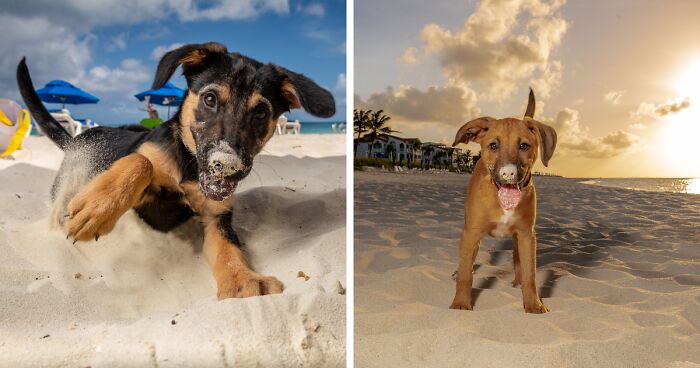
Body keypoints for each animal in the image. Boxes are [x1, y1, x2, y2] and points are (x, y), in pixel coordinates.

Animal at [15, 41, 334, 300]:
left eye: (262, 113)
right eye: (209, 99)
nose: (226, 166)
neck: (189, 169)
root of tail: (74, 140)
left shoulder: (216, 218)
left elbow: (229, 250)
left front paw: (243, 280)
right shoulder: (145, 185)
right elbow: (141, 161)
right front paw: (97, 209)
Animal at [448, 90, 556, 314]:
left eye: (524, 146)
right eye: (493, 145)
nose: (508, 173)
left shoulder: (526, 235)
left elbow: (530, 274)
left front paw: (534, 304)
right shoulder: (470, 233)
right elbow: (465, 274)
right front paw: (461, 304)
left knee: (517, 260)